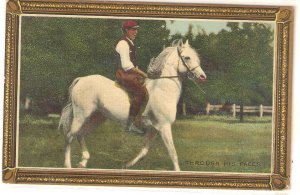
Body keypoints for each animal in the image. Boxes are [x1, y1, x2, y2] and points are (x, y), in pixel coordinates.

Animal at [59, 39, 207, 171]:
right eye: (187, 57)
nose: (202, 77)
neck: (162, 90)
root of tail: (81, 80)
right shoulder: (164, 127)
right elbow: (173, 153)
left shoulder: (154, 129)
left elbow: (143, 151)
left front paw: (126, 165)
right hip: (81, 116)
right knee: (69, 136)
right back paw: (67, 165)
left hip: (96, 118)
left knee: (80, 134)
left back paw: (83, 162)